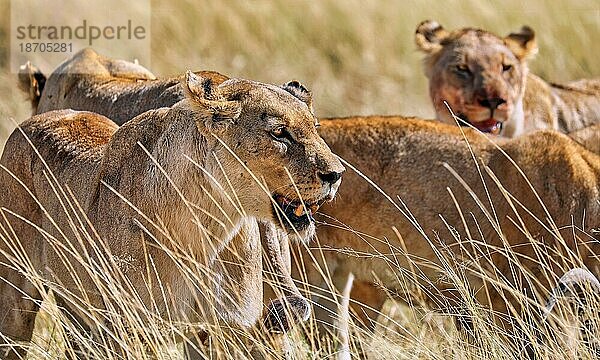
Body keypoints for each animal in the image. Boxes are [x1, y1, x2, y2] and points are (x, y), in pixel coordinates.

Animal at [0, 71, 344, 358]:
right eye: (280, 133)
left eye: (315, 129)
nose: (336, 175)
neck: (207, 228)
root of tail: (34, 119)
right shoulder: (130, 331)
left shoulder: (234, 329)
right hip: (15, 301)